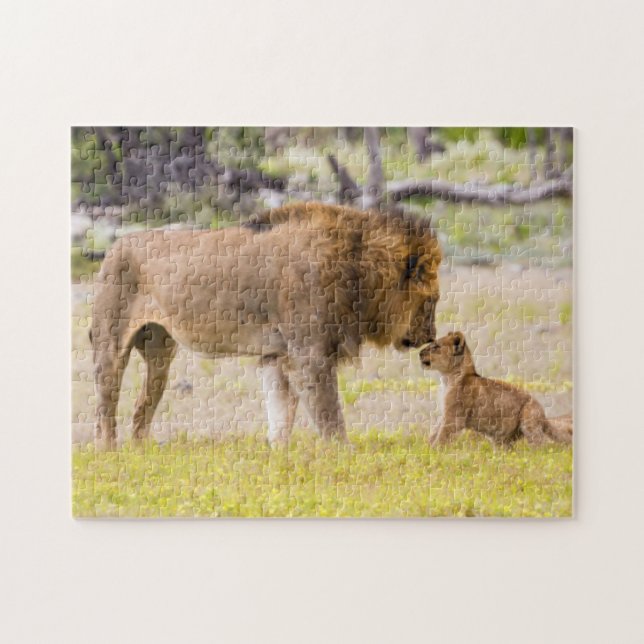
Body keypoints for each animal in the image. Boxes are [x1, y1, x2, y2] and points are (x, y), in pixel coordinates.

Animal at [91, 202, 442, 449]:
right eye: (432, 301)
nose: (430, 337)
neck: (358, 270)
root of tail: (115, 246)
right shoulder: (310, 356)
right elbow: (329, 414)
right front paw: (344, 453)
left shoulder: (278, 355)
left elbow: (280, 413)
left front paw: (278, 454)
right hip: (110, 345)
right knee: (105, 406)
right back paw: (109, 451)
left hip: (160, 352)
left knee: (142, 405)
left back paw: (141, 449)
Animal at [419, 332, 573, 446]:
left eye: (435, 346)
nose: (419, 353)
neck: (447, 377)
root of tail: (543, 415)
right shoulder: (446, 413)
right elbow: (435, 431)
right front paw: (426, 447)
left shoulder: (454, 417)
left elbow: (442, 436)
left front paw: (433, 453)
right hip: (502, 440)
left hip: (529, 420)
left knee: (542, 446)